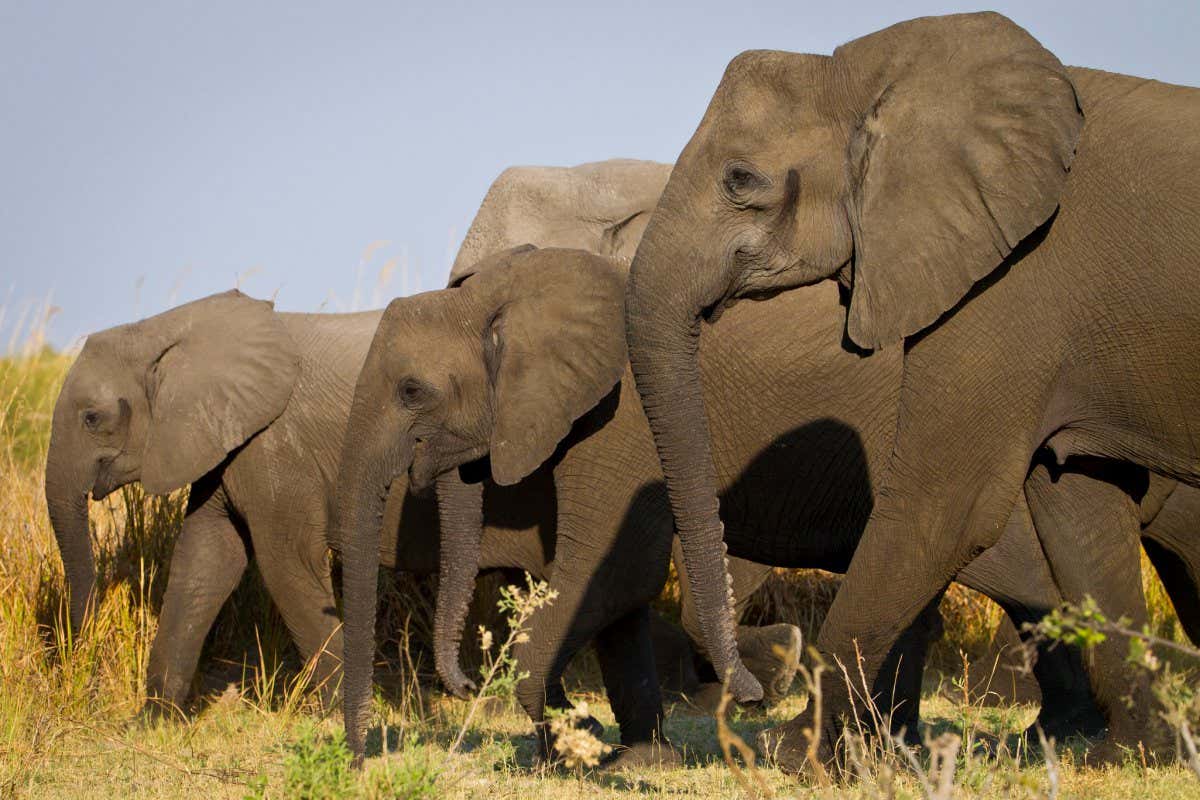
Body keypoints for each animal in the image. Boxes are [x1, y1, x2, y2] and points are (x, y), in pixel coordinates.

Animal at [337, 245, 1196, 768]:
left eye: (411, 391)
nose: (455, 686)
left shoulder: (621, 421)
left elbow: (616, 569)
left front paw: (575, 740)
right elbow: (618, 588)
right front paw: (629, 754)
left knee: (1014, 575)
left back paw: (1058, 736)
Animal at [621, 11, 1200, 767]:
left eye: (741, 178)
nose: (746, 694)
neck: (872, 71)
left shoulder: (1016, 278)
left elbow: (943, 504)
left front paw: (789, 753)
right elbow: (1077, 509)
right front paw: (1130, 758)